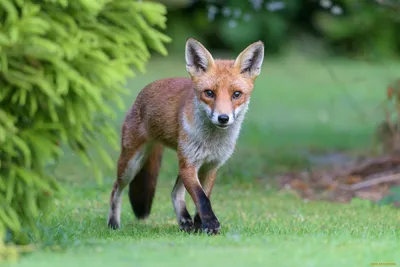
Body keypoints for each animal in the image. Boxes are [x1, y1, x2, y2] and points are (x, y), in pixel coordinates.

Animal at [106, 37, 264, 234]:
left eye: (236, 94)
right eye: (209, 93)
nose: (223, 118)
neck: (211, 142)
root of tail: (144, 91)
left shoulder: (210, 166)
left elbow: (203, 198)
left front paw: (200, 225)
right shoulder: (189, 165)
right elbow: (202, 198)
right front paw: (210, 225)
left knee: (175, 192)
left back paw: (185, 221)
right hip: (132, 163)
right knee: (115, 189)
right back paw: (113, 223)